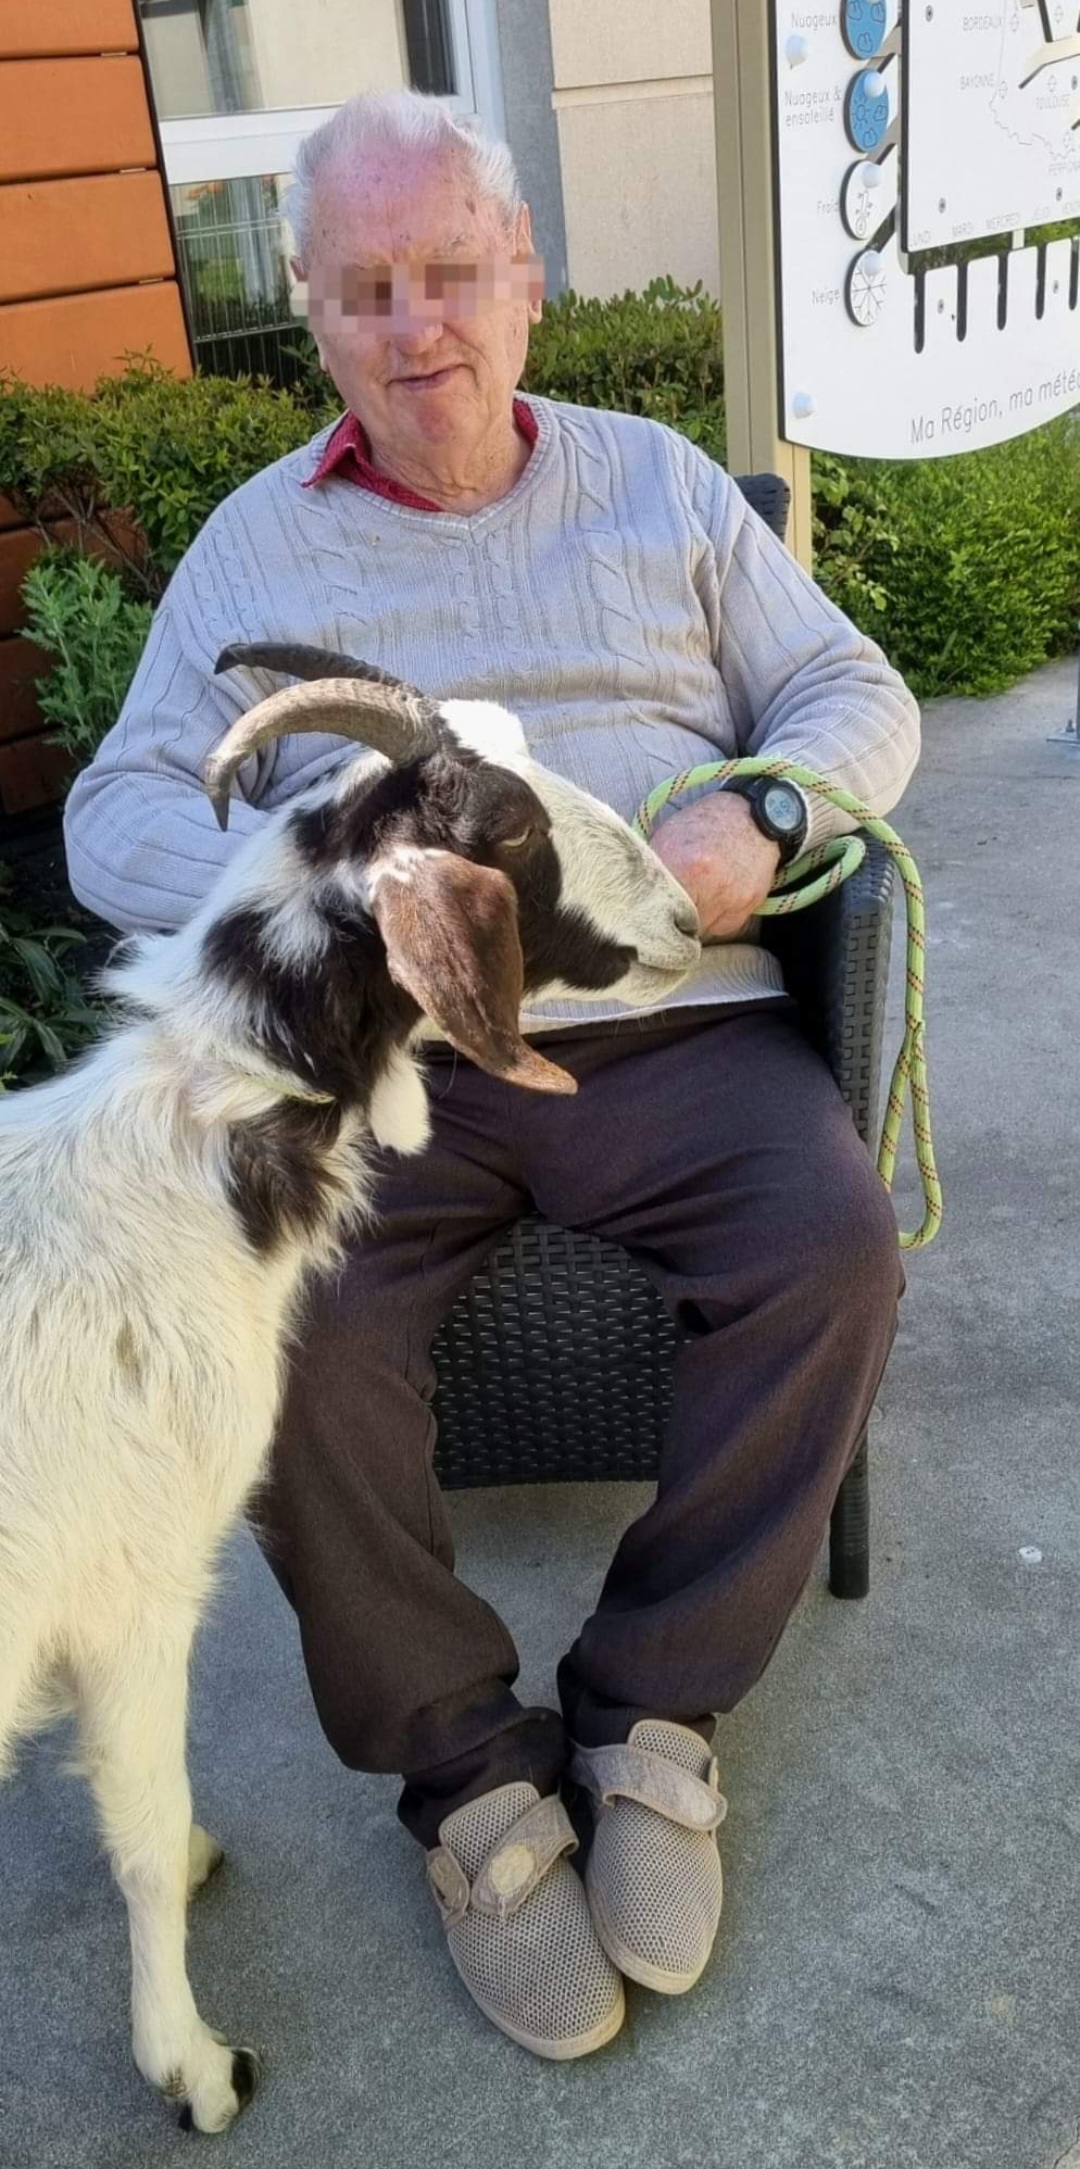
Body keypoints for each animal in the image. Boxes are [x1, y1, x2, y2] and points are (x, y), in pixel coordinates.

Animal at [0, 643, 700, 2133]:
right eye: (506, 829)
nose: (682, 915)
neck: (179, 1165)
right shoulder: (134, 1588)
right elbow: (142, 1824)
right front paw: (194, 2062)